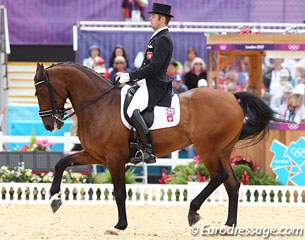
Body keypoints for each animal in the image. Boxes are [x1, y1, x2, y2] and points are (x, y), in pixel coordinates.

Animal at [33, 62, 276, 234]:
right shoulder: (95, 155)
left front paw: (119, 225)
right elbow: (61, 162)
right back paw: (229, 224)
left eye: (41, 93)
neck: (98, 104)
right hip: (223, 151)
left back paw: (193, 212)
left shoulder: (114, 157)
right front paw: (54, 197)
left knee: (219, 176)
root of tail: (232, 98)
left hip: (207, 149)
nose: (50, 125)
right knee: (232, 184)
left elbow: (119, 192)